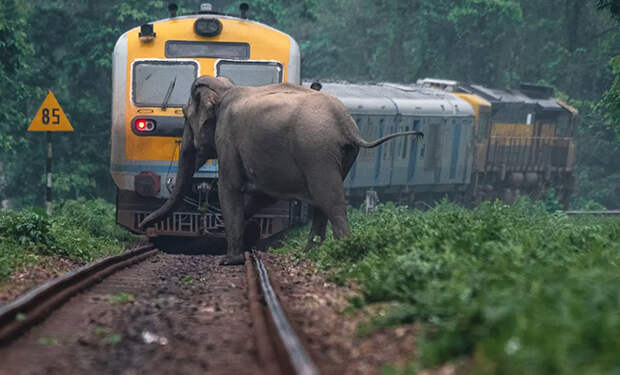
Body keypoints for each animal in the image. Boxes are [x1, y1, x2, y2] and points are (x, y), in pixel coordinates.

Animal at [140, 75, 422, 264]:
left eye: (185, 116)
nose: (143, 226)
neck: (226, 89)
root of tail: (346, 124)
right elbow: (263, 195)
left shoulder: (228, 137)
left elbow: (229, 187)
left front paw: (229, 260)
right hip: (344, 155)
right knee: (323, 202)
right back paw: (308, 252)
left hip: (316, 151)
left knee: (329, 199)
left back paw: (341, 252)